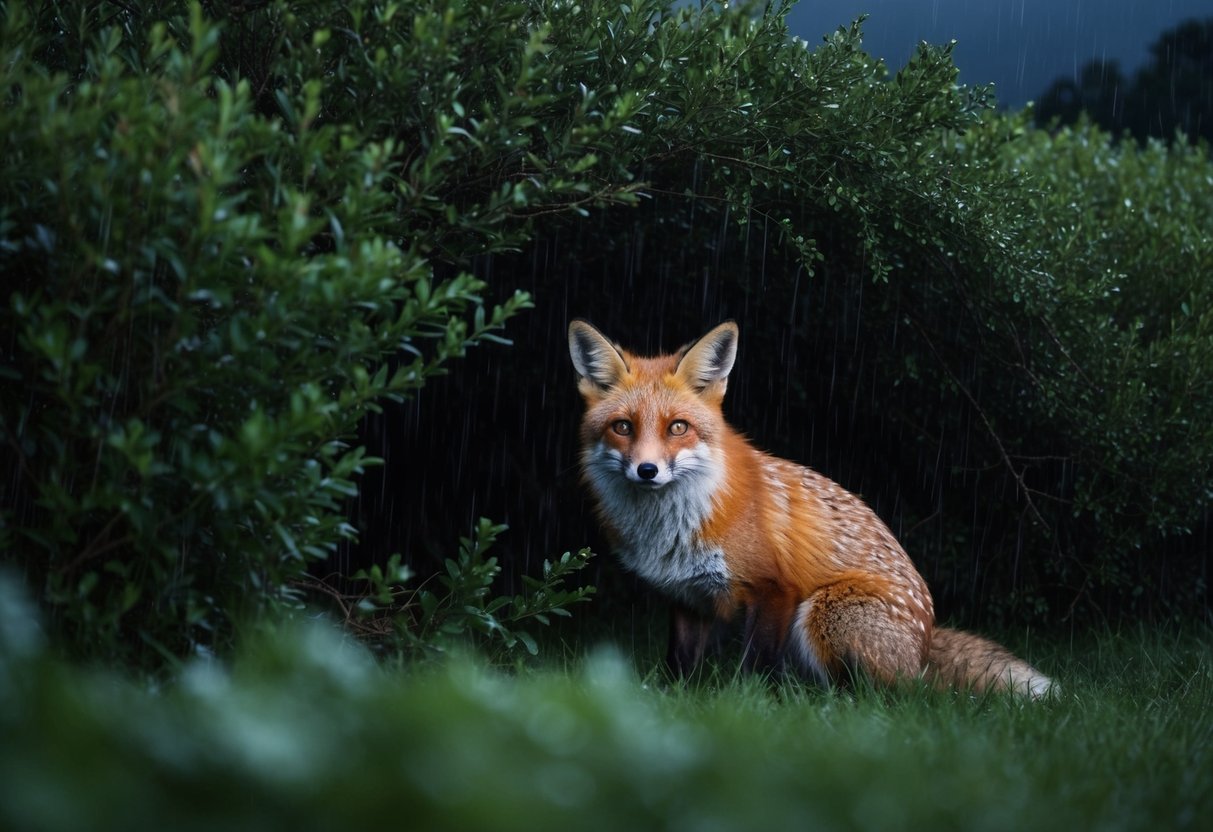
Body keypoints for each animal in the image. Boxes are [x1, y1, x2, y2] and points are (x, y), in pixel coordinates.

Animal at [568, 319, 1054, 698]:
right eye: (623, 427)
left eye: (677, 428)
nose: (647, 470)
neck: (675, 523)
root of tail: (925, 644)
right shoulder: (687, 596)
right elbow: (681, 665)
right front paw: (672, 700)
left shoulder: (775, 588)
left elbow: (754, 667)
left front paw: (747, 706)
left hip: (823, 612)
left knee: (886, 696)